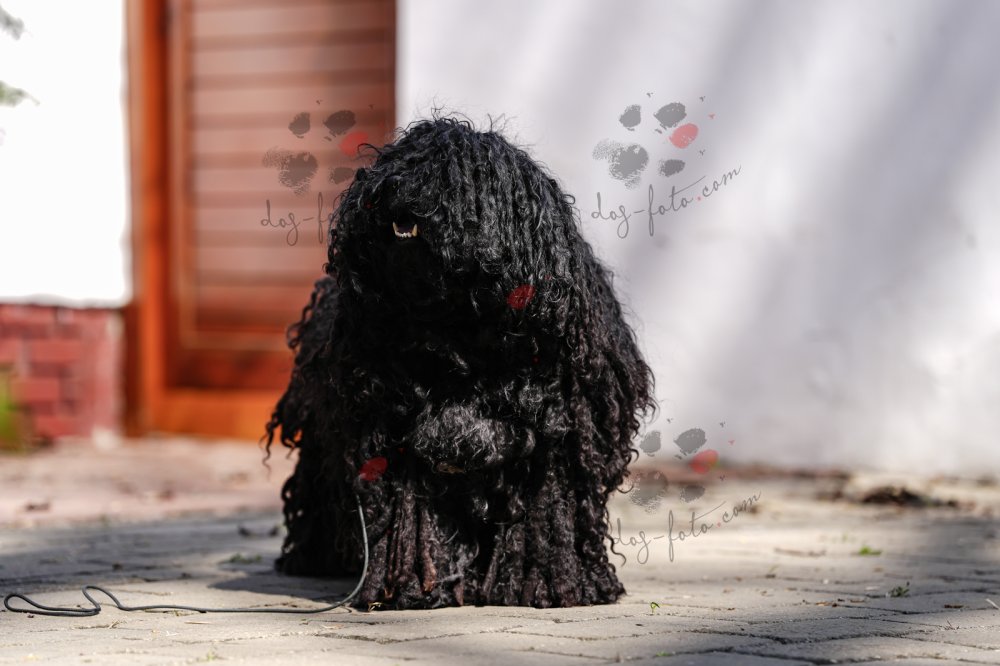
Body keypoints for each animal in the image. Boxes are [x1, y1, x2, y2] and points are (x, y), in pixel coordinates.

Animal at [265, 114, 656, 610]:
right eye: (397, 159)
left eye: (452, 177)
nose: (390, 189)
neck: (464, 327)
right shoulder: (391, 426)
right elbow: (409, 514)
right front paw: (408, 586)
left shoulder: (561, 427)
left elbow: (550, 509)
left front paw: (555, 585)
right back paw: (318, 559)